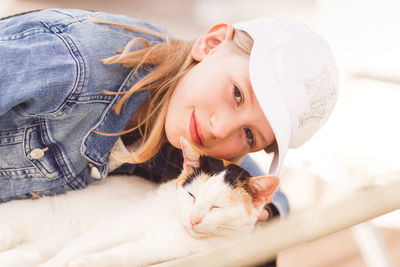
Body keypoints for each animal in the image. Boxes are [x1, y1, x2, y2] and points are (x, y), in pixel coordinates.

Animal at [0, 138, 278, 267]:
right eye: (192, 195)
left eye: (217, 208)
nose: (194, 218)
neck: (174, 220)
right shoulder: (116, 227)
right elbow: (73, 250)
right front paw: (62, 261)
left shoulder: (159, 249)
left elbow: (124, 255)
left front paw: (88, 262)